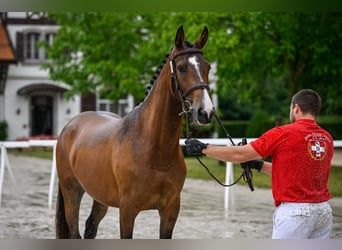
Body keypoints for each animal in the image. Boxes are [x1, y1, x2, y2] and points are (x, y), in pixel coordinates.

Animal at [55, 26, 214, 239]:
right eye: (181, 68)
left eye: (208, 67)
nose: (206, 112)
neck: (153, 149)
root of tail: (69, 127)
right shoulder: (127, 211)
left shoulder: (170, 211)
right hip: (71, 191)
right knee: (74, 232)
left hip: (100, 196)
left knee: (90, 227)